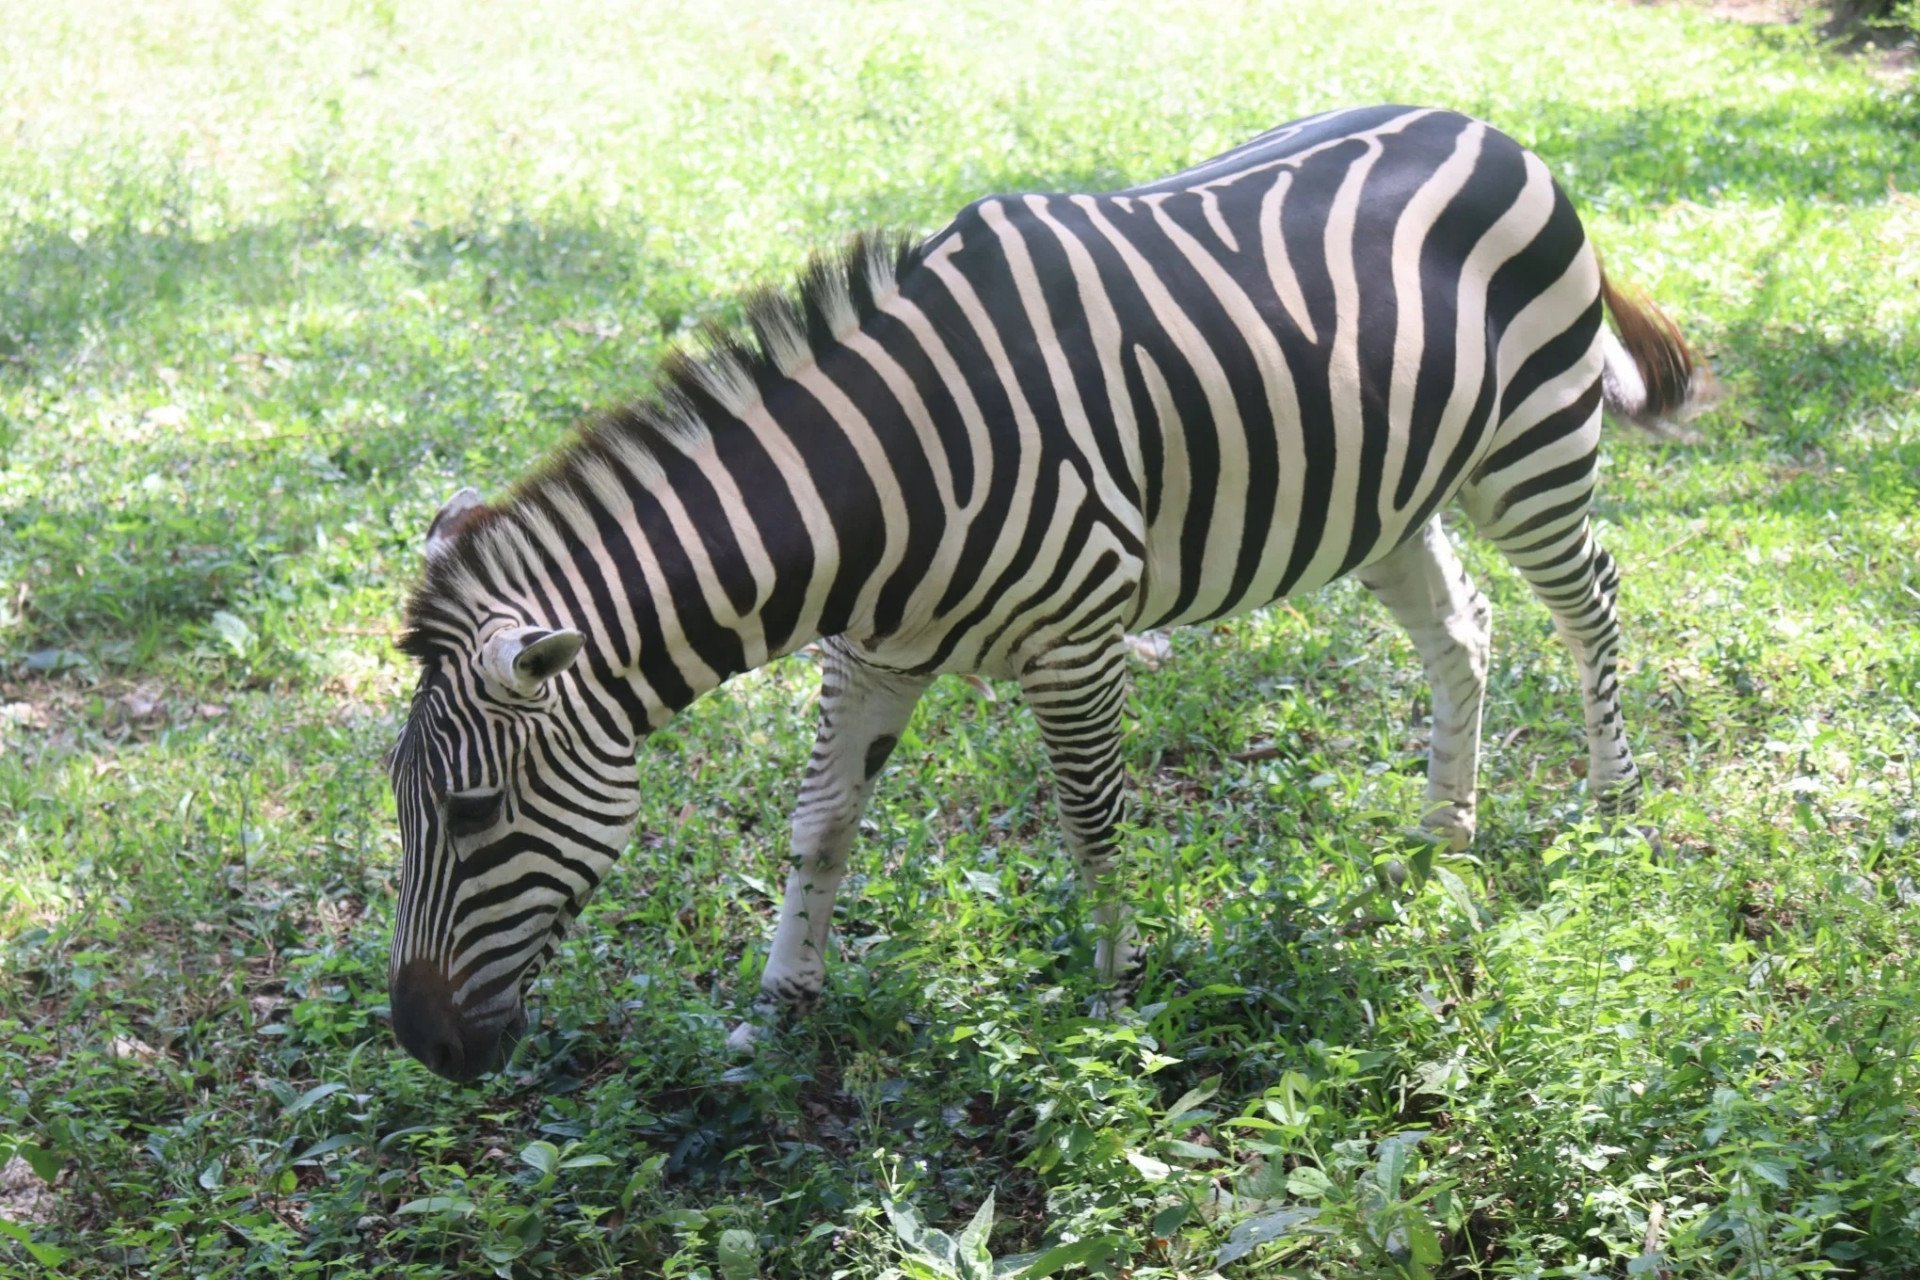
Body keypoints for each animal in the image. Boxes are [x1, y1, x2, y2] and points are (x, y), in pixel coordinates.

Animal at [384, 104, 1706, 1081]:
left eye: (473, 813)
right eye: (405, 810)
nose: (422, 1044)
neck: (880, 488)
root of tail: (1492, 127)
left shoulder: (1078, 639)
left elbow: (1093, 827)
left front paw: (1118, 1015)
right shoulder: (869, 652)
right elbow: (821, 825)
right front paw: (779, 1009)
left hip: (1531, 449)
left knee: (1592, 604)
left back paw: (1612, 807)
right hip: (1385, 492)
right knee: (1462, 632)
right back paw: (1442, 839)